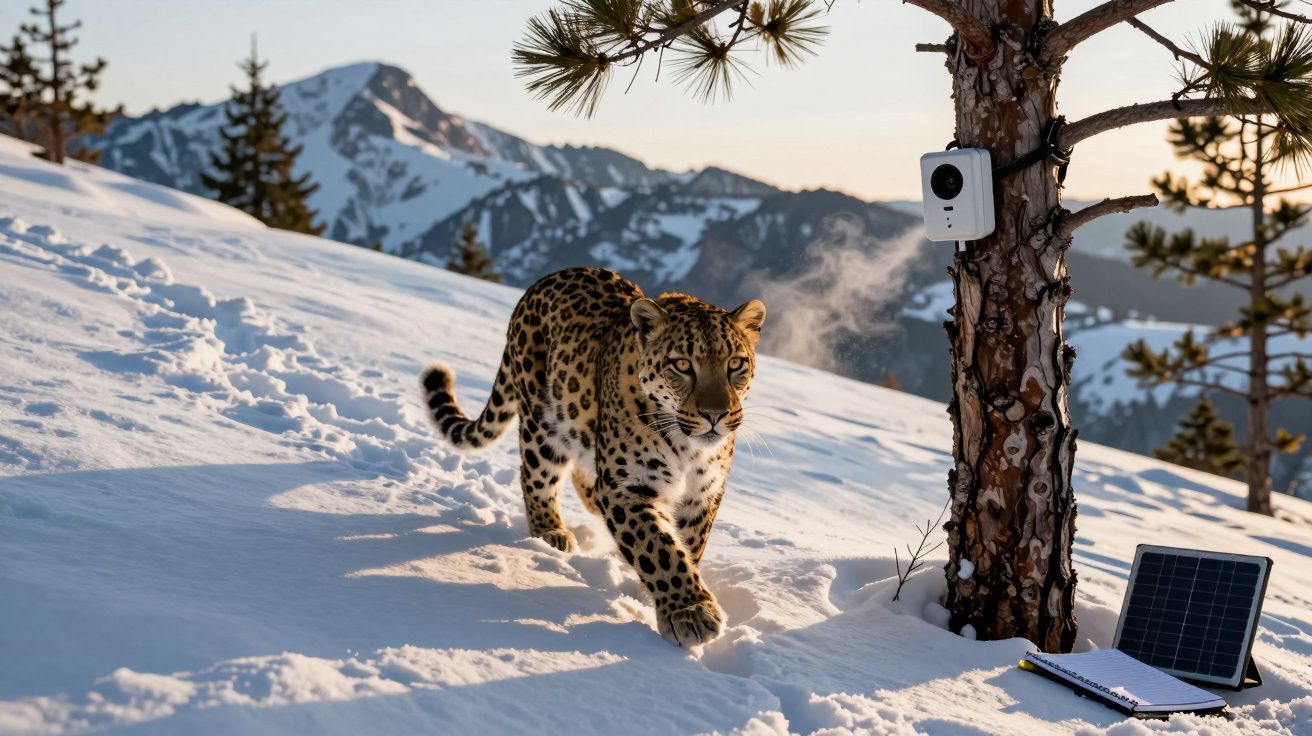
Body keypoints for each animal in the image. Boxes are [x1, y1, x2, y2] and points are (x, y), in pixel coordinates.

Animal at [420, 267, 766, 647]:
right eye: (681, 365)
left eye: (736, 364)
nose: (715, 415)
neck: (687, 448)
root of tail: (542, 282)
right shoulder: (625, 487)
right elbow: (659, 549)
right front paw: (690, 612)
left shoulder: (704, 492)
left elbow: (687, 544)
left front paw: (663, 593)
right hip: (542, 424)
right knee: (536, 477)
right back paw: (551, 531)